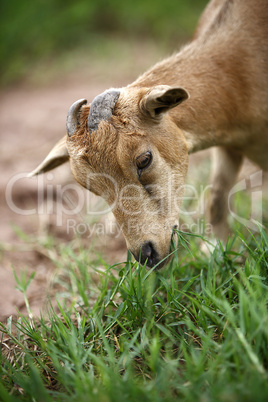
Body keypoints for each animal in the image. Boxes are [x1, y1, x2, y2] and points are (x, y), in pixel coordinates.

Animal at [29, 0, 268, 270]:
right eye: (90, 187)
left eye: (144, 159)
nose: (147, 254)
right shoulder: (229, 146)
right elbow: (216, 197)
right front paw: (216, 250)